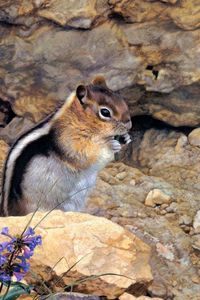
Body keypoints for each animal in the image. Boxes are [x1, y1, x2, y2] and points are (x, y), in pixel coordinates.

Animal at [0, 75, 131, 216]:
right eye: (105, 112)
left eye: (121, 99)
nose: (129, 125)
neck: (78, 120)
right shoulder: (70, 141)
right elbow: (87, 155)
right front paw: (111, 144)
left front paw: (126, 138)